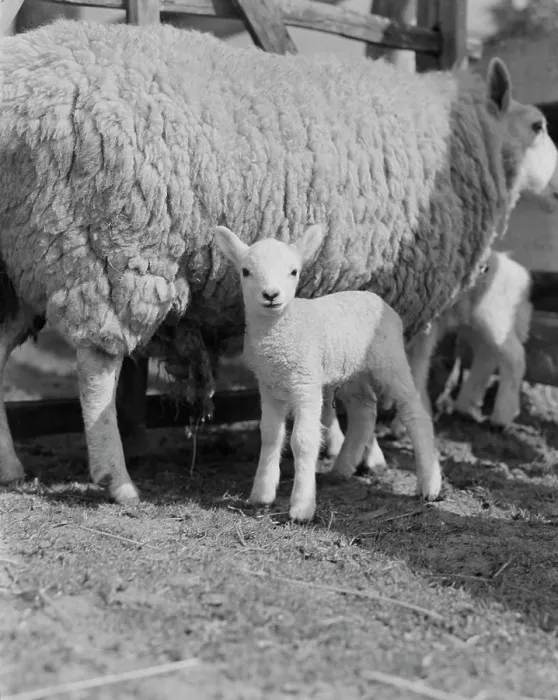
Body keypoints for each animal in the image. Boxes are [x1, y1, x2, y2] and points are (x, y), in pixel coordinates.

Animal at [213, 223, 442, 523]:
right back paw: (343, 467)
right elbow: (271, 435)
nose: (271, 295)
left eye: (293, 271)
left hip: (390, 360)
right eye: (245, 271)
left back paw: (429, 485)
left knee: (415, 414)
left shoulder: (305, 382)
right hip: (351, 370)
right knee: (364, 409)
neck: (281, 331)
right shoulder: (269, 385)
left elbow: (303, 439)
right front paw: (261, 494)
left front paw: (302, 507)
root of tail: (374, 297)